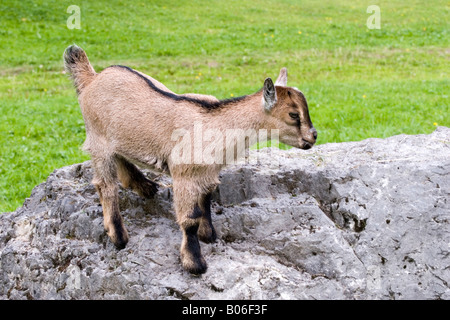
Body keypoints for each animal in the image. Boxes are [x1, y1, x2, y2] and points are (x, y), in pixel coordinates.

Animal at [63, 45, 318, 274]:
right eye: (293, 114)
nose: (313, 136)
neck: (216, 124)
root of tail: (92, 79)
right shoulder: (183, 174)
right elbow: (190, 219)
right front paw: (194, 262)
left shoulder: (208, 173)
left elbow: (205, 201)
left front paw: (208, 234)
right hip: (98, 139)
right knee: (106, 185)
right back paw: (118, 236)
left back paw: (145, 186)